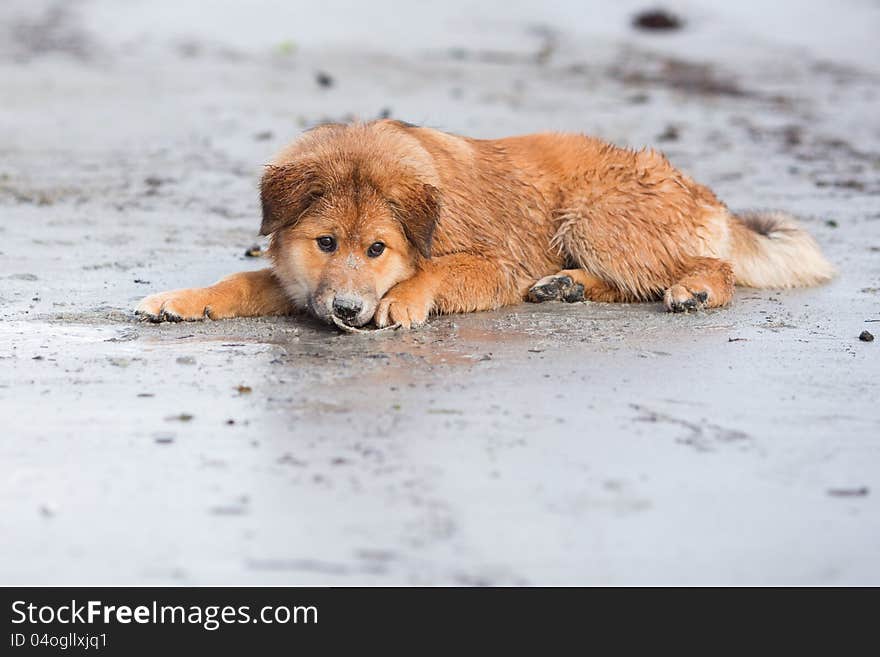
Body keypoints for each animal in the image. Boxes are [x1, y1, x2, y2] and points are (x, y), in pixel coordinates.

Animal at [136, 120, 832, 328]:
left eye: (378, 248)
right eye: (325, 242)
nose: (348, 312)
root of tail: (703, 192)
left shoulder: (493, 264)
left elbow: (437, 271)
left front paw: (403, 300)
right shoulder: (302, 281)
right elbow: (237, 281)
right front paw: (181, 299)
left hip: (594, 215)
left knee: (708, 266)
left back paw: (695, 289)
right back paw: (565, 286)